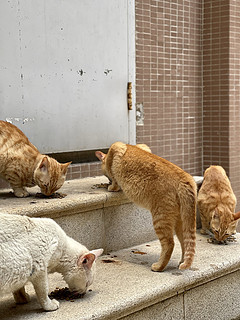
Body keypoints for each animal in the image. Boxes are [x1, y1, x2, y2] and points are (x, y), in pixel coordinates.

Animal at [95, 142, 197, 270]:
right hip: (181, 221)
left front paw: (111, 186)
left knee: (169, 243)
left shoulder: (116, 146)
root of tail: (186, 178)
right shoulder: (144, 146)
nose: (107, 181)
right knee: (184, 242)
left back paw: (158, 266)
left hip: (160, 218)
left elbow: (114, 180)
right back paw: (181, 262)